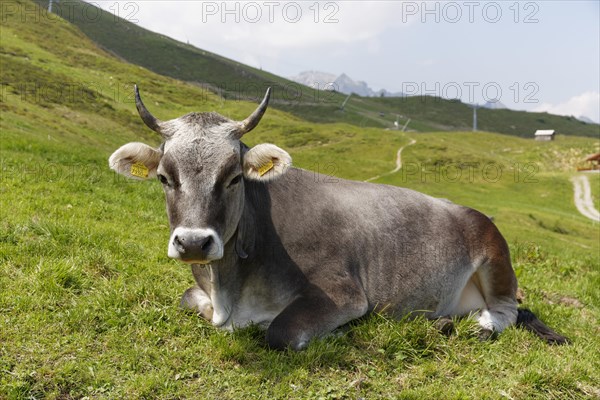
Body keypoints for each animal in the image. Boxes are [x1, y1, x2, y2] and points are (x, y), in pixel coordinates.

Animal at [109, 85, 568, 350]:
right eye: (164, 177)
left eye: (235, 177)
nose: (193, 242)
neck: (230, 287)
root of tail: (472, 210)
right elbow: (188, 300)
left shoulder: (343, 293)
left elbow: (279, 332)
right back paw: (443, 323)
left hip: (495, 257)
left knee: (507, 310)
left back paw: (482, 326)